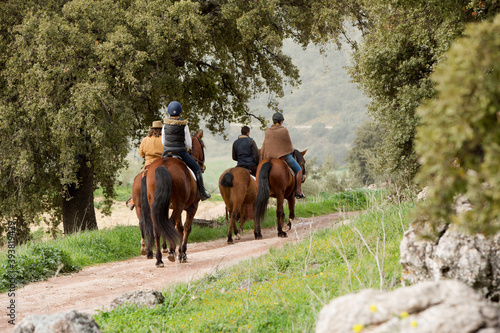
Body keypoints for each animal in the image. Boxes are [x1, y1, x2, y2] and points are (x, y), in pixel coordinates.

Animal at [133, 130, 207, 264]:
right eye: (202, 145)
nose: (202, 166)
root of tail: (164, 165)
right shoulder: (192, 207)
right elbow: (186, 228)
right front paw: (182, 253)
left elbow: (178, 228)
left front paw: (177, 252)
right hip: (179, 205)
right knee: (169, 224)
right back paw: (170, 252)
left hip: (149, 206)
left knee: (153, 226)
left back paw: (156, 257)